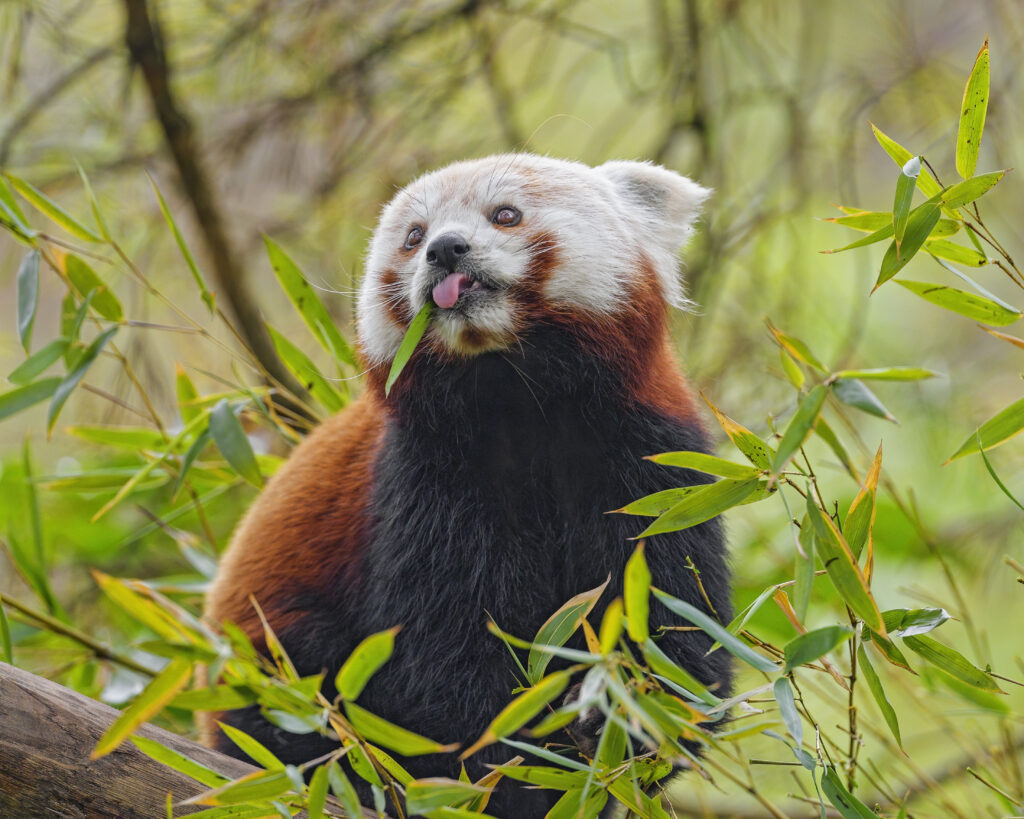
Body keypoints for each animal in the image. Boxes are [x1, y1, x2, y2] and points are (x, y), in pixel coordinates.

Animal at [202, 154, 733, 817]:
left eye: (504, 215)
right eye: (413, 236)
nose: (445, 249)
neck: (516, 396)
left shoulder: (648, 460)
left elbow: (674, 625)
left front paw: (614, 719)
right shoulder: (429, 480)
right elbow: (446, 666)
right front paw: (511, 774)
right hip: (267, 656)